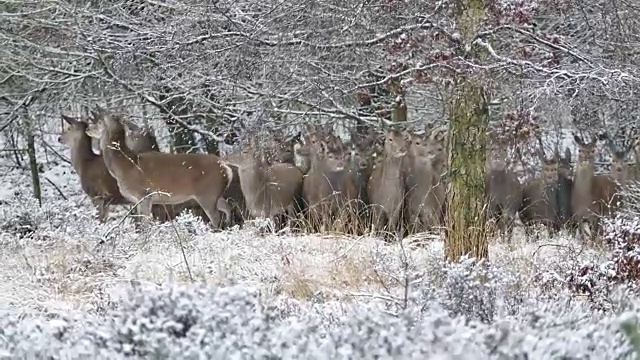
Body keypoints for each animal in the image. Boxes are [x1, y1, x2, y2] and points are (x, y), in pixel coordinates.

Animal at [84, 108, 232, 228]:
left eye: (99, 121)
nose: (87, 129)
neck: (126, 166)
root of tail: (225, 168)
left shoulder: (144, 194)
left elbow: (145, 224)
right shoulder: (138, 200)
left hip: (207, 193)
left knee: (216, 219)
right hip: (215, 194)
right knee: (227, 209)